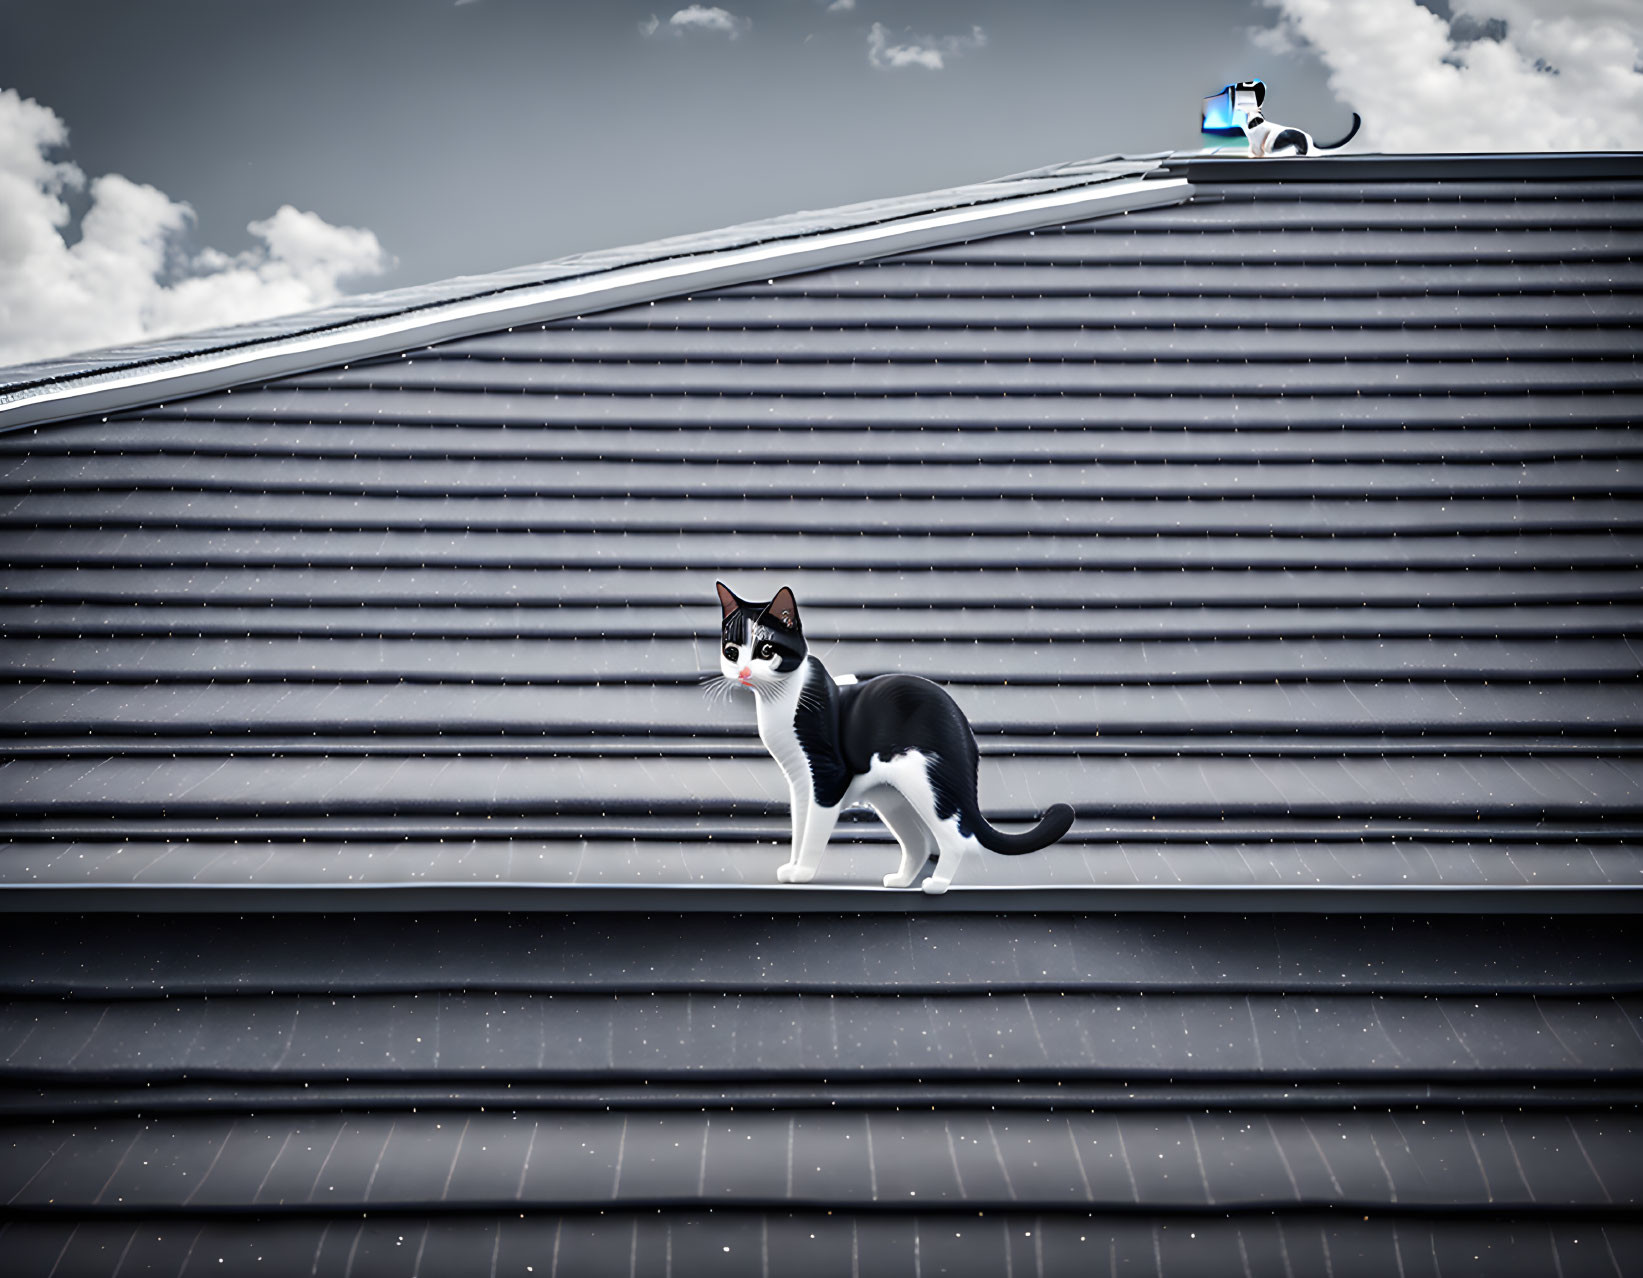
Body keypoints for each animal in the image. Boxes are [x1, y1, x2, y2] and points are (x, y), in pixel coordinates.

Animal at [709, 578, 1077, 887]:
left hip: (926, 784)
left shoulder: (827, 776)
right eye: (732, 651)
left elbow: (813, 831)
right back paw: (900, 880)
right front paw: (793, 867)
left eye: (766, 650)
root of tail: (964, 728)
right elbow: (800, 827)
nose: (743, 672)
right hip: (891, 798)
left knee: (956, 837)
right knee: (919, 843)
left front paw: (804, 872)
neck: (780, 700)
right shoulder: (801, 782)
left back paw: (937, 884)